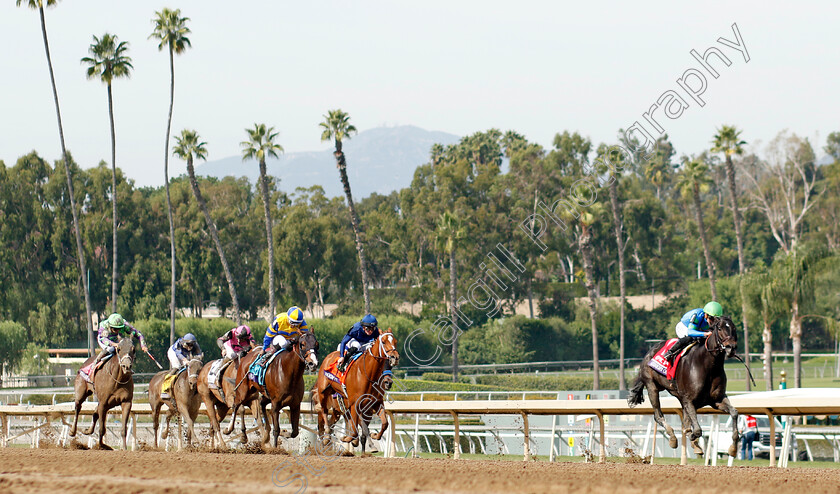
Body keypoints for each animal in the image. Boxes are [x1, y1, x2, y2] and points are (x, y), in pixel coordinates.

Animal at [628, 314, 740, 462]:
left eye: (734, 328)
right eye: (720, 328)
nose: (731, 348)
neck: (708, 366)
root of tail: (650, 351)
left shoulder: (716, 400)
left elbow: (734, 412)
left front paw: (733, 448)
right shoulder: (689, 399)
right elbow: (697, 430)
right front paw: (691, 436)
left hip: (679, 396)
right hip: (652, 386)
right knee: (658, 416)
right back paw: (673, 438)